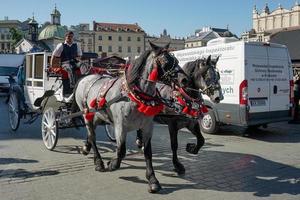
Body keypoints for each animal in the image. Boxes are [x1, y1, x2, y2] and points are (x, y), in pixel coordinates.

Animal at [73, 41, 180, 192]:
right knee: (92, 136)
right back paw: (99, 162)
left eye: (175, 60)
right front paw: (112, 164)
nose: (183, 78)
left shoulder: (147, 127)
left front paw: (152, 179)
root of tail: (85, 78)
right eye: (165, 61)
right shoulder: (120, 127)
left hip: (98, 115)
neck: (133, 96)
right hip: (86, 113)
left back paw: (86, 148)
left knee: (91, 132)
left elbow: (148, 152)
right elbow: (121, 151)